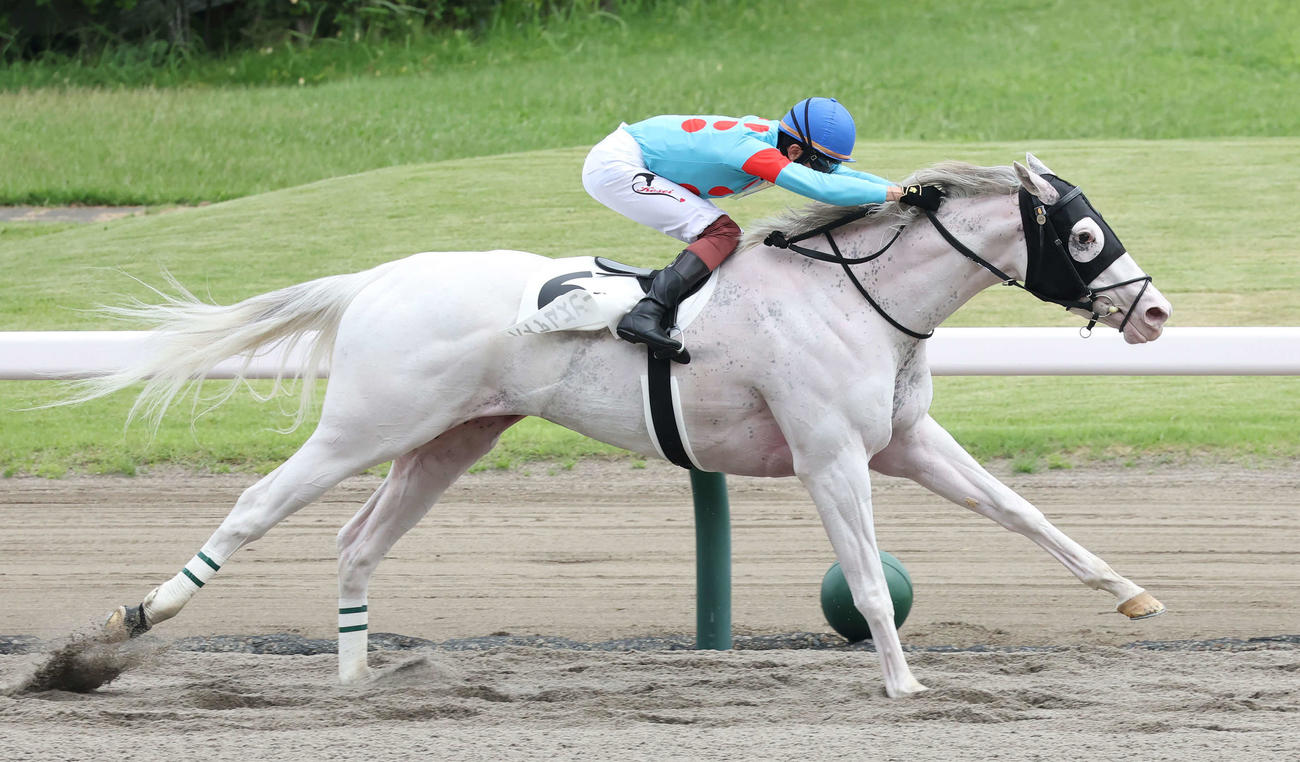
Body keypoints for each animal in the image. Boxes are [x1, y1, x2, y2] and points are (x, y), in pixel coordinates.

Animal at [85, 153, 1172, 698]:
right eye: (1083, 234)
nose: (1155, 312)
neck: (853, 296)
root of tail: (374, 280)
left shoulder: (902, 441)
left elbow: (1025, 514)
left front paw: (1133, 595)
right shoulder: (828, 456)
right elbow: (867, 580)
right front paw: (903, 685)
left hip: (452, 437)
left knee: (357, 541)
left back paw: (356, 680)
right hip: (367, 423)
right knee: (257, 503)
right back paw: (129, 620)